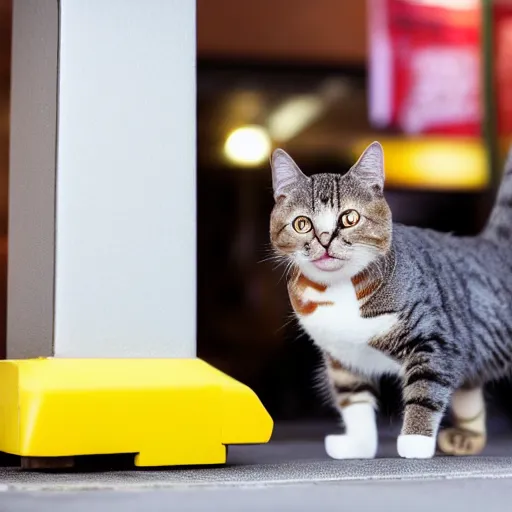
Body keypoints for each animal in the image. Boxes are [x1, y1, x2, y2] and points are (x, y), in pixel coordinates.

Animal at [268, 143, 512, 460]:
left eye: (349, 218)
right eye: (302, 224)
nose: (323, 240)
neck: (339, 288)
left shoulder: (434, 341)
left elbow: (426, 389)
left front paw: (415, 441)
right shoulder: (343, 358)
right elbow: (355, 402)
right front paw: (359, 445)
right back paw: (466, 438)